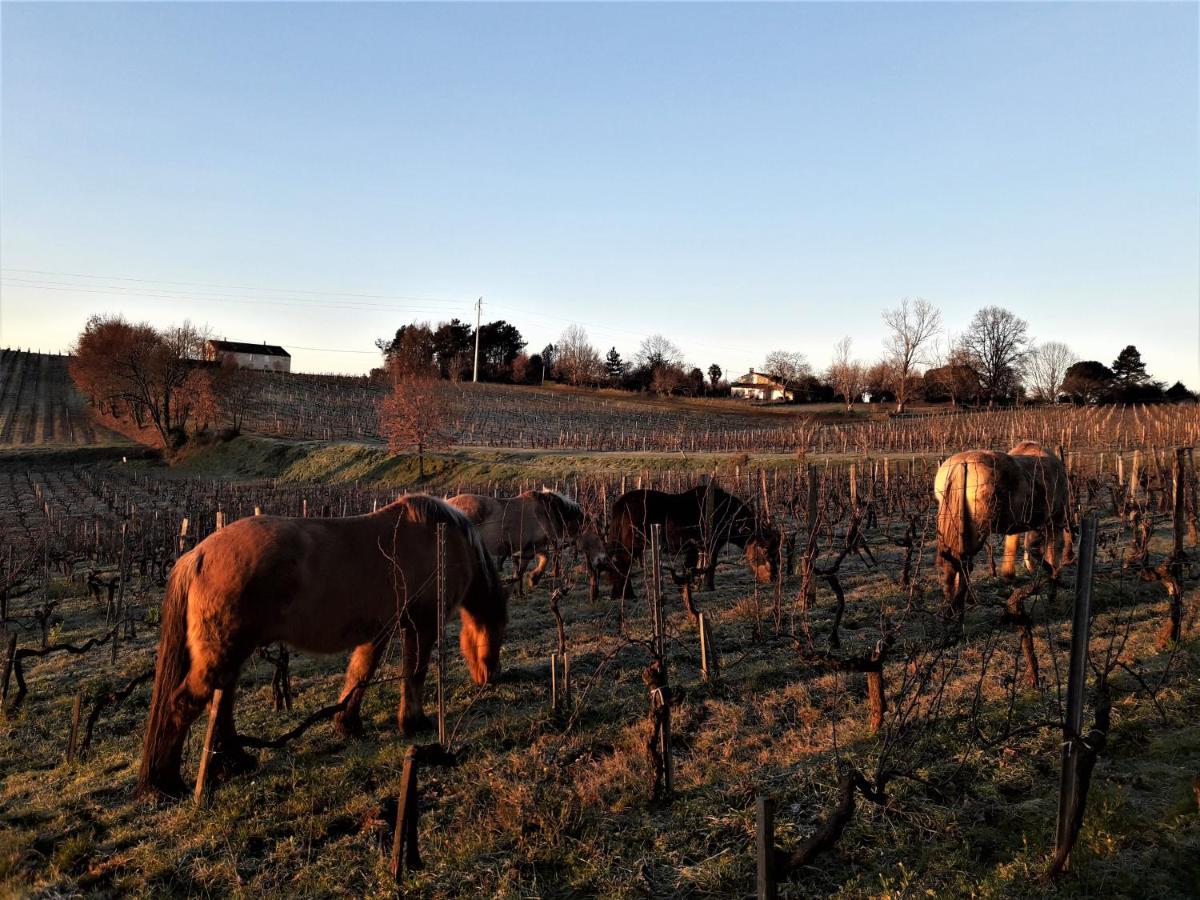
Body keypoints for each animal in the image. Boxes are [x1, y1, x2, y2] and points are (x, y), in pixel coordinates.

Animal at [140, 496, 506, 801]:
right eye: (499, 633)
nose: (490, 677)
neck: (445, 540)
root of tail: (197, 555)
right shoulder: (421, 624)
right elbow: (414, 673)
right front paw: (413, 723)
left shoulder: (380, 630)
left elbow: (361, 672)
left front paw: (348, 723)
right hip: (223, 653)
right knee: (181, 704)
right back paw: (165, 783)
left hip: (231, 653)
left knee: (222, 703)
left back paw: (235, 759)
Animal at [448, 489, 609, 595]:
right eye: (598, 535)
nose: (602, 560)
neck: (548, 512)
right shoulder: (531, 547)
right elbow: (540, 561)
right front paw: (532, 579)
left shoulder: (531, 547)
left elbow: (529, 566)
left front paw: (525, 584)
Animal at [609, 487, 777, 619]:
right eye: (766, 551)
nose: (773, 577)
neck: (728, 514)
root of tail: (619, 505)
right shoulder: (712, 544)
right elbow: (711, 565)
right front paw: (708, 586)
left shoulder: (697, 547)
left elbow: (697, 566)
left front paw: (695, 585)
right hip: (631, 546)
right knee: (622, 566)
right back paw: (626, 594)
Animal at [931, 441, 1075, 619]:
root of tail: (961, 465)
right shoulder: (1052, 522)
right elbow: (1048, 554)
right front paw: (1052, 581)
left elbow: (1015, 547)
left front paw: (1011, 576)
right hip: (976, 532)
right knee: (963, 564)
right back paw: (959, 606)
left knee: (954, 565)